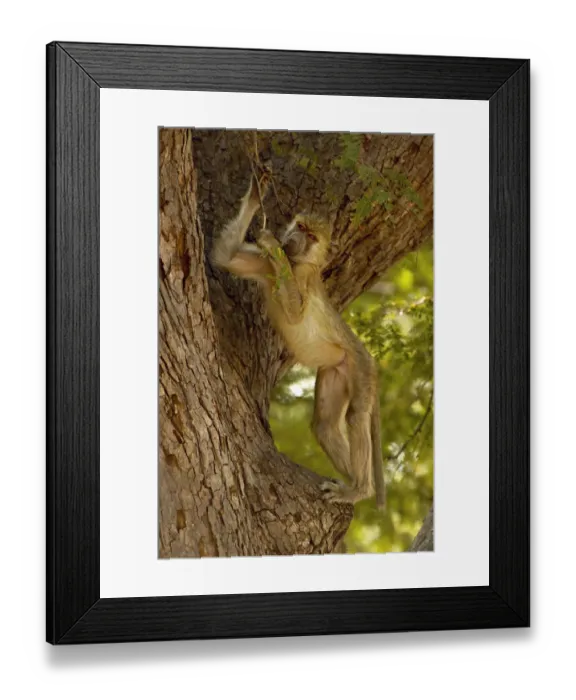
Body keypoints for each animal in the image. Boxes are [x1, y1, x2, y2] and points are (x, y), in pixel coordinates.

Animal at [211, 170, 386, 509]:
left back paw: (359, 490)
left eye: (311, 236)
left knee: (356, 417)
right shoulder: (263, 264)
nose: (293, 240)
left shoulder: (300, 277)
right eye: (300, 227)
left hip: (361, 367)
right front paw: (256, 195)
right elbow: (223, 258)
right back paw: (353, 485)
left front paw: (271, 241)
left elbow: (294, 315)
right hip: (337, 368)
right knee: (325, 427)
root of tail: (366, 355)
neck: (295, 264)